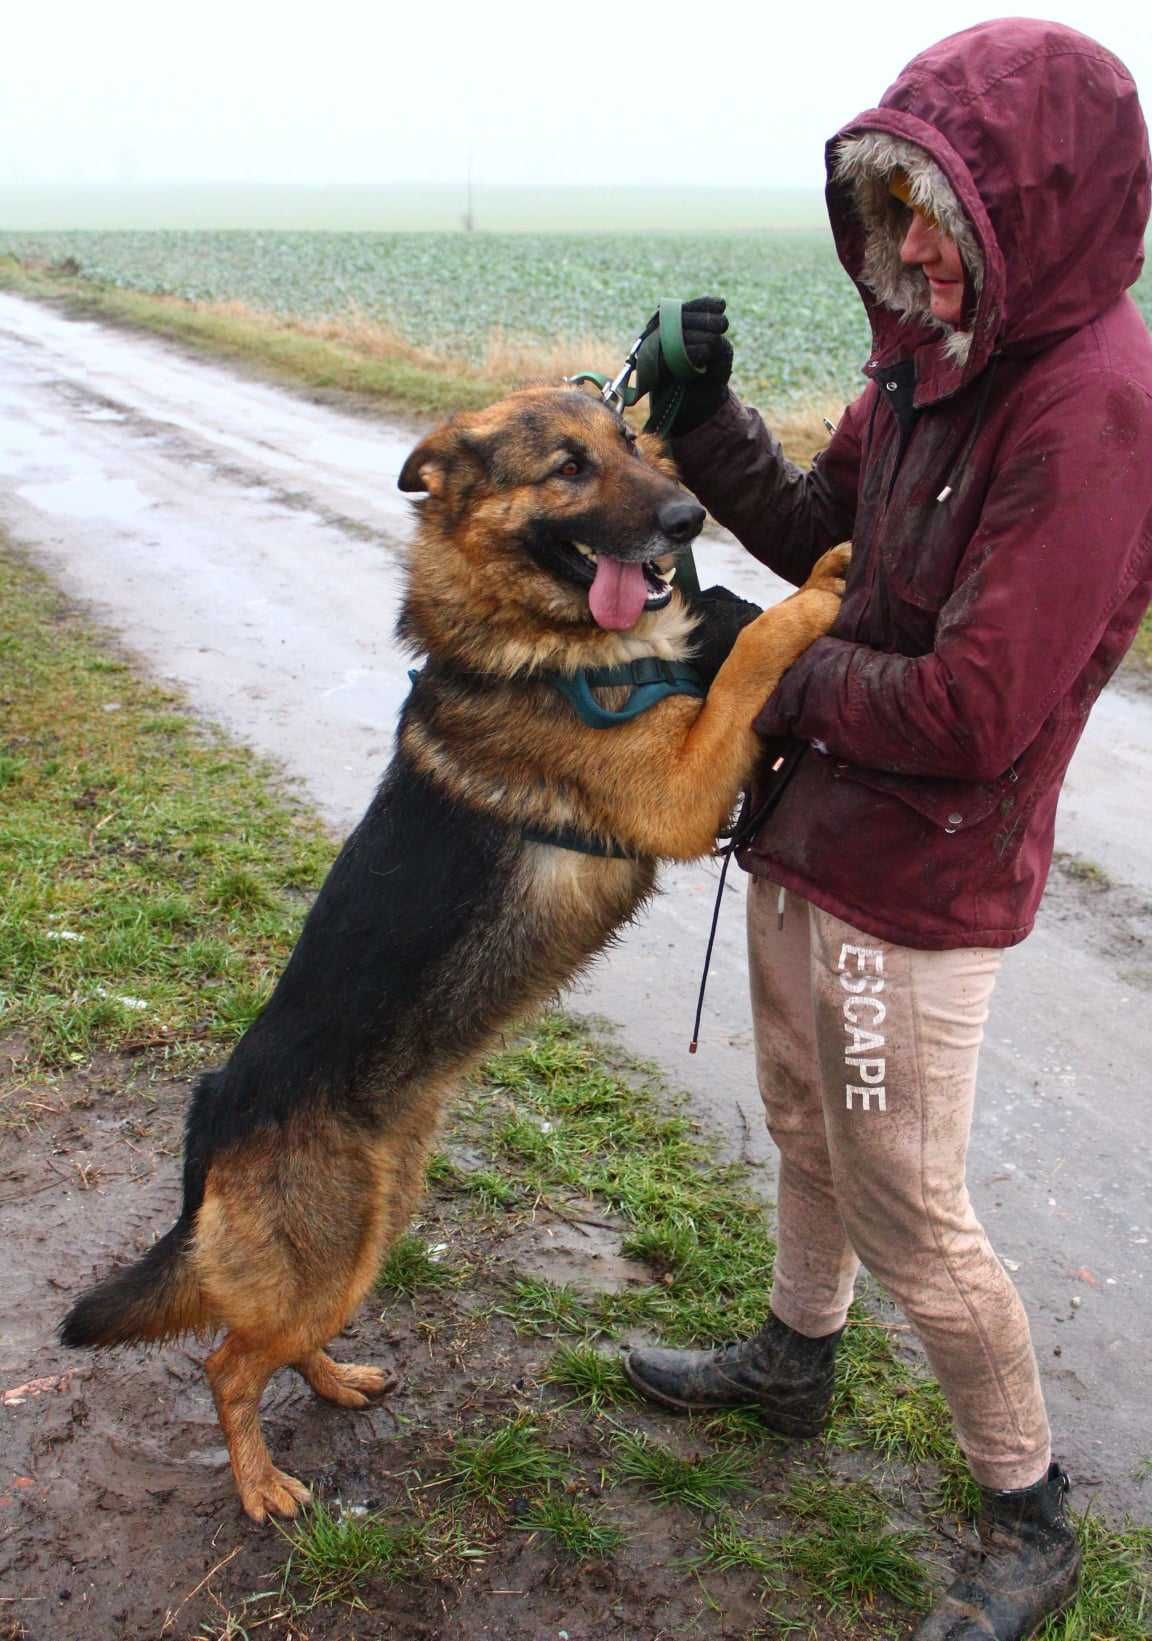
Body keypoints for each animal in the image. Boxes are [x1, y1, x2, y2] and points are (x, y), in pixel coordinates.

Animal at [58, 387, 846, 1522]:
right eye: (568, 467)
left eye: (631, 441)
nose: (689, 518)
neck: (534, 637)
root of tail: (212, 1116)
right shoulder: (682, 792)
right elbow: (748, 661)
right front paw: (820, 587)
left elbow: (729, 646)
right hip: (326, 1250)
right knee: (225, 1363)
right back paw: (261, 1484)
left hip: (365, 1236)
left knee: (280, 1340)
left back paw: (338, 1380)